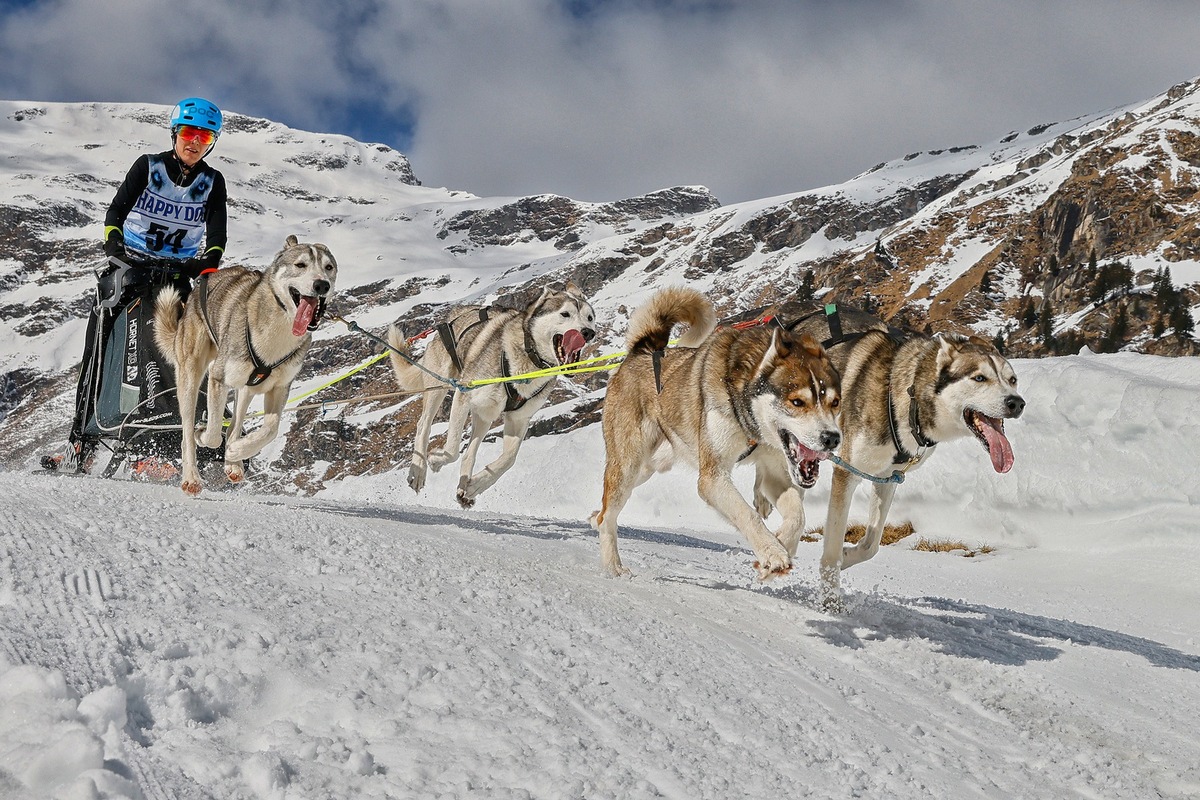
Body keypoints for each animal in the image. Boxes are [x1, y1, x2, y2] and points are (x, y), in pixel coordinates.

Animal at [153, 235, 338, 494]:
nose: (322, 285)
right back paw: (191, 476)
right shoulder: (218, 378)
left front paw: (236, 452)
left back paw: (234, 461)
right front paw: (206, 437)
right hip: (191, 378)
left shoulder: (279, 388)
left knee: (234, 425)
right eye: (300, 265)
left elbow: (271, 429)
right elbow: (212, 435)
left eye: (328, 267)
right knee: (187, 434)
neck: (280, 328)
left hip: (247, 387)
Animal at [391, 281, 597, 506]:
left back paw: (465, 488)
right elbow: (452, 448)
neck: (527, 362)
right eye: (565, 314)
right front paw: (436, 460)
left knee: (469, 453)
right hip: (439, 385)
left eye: (589, 317)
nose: (588, 332)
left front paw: (476, 486)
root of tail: (455, 312)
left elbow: (509, 459)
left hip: (485, 414)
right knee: (424, 425)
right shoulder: (463, 395)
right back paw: (418, 472)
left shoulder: (519, 418)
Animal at [592, 287, 840, 582]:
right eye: (797, 402)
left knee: (605, 510)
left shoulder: (775, 473)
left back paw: (595, 517)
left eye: (835, 402)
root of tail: (643, 350)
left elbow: (798, 517)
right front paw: (772, 553)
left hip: (647, 468)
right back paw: (612, 566)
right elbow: (747, 514)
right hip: (628, 465)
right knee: (608, 516)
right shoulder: (712, 479)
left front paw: (781, 544)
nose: (832, 438)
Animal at [777, 303, 1022, 609]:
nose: (1017, 402)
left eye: (1012, 380)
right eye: (979, 378)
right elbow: (832, 546)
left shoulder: (886, 478)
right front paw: (831, 600)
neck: (906, 396)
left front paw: (848, 555)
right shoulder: (847, 473)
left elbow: (871, 545)